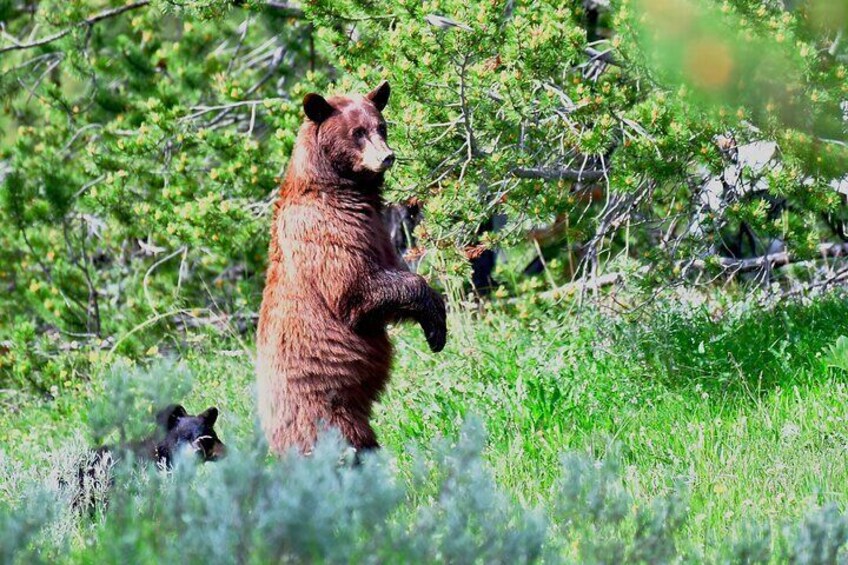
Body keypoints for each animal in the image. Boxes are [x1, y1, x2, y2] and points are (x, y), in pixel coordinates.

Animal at [255, 82, 448, 454]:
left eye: (381, 127)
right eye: (357, 132)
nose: (387, 156)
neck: (339, 186)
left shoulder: (377, 229)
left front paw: (436, 329)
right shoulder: (326, 229)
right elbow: (356, 288)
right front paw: (435, 323)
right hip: (322, 406)